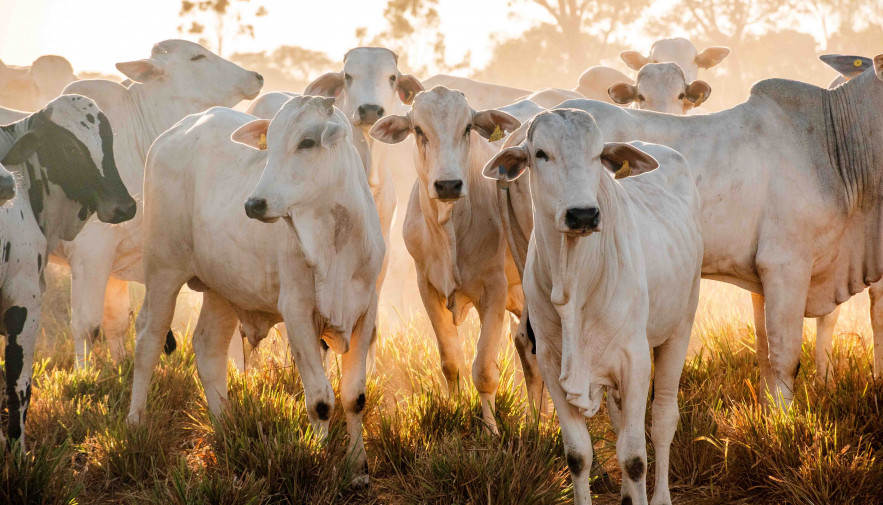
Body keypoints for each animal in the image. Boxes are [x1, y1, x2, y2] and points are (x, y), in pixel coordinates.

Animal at [0, 94, 136, 440]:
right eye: (70, 149)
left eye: (108, 139)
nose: (126, 207)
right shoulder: (23, 303)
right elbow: (19, 387)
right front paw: (18, 450)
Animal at [52, 39, 262, 362]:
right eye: (197, 57)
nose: (256, 76)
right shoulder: (91, 253)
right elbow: (87, 327)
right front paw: (84, 372)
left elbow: (115, 323)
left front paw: (119, 366)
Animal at [128, 95, 384, 484]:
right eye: (270, 143)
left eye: (307, 142)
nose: (253, 203)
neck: (336, 242)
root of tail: (174, 132)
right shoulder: (296, 311)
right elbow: (320, 401)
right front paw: (320, 461)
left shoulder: (365, 311)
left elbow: (354, 397)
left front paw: (358, 469)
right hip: (163, 269)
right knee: (148, 338)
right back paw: (136, 423)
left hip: (220, 288)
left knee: (208, 346)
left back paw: (225, 428)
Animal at [368, 86, 536, 430]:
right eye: (419, 130)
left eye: (467, 128)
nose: (447, 185)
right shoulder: (427, 287)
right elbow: (451, 363)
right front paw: (457, 411)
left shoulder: (494, 291)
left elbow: (484, 370)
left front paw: (490, 430)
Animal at [486, 107, 700, 504]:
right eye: (541, 154)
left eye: (598, 155)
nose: (583, 215)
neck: (574, 282)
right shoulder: (551, 365)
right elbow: (578, 456)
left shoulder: (634, 361)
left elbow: (634, 458)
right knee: (620, 424)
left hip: (680, 327)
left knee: (663, 420)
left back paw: (660, 495)